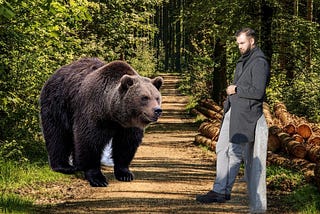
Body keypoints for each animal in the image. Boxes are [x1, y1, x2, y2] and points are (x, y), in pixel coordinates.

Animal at [40, 57, 164, 186]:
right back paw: (63, 166)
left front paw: (125, 174)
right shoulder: (93, 113)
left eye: (157, 97)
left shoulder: (128, 126)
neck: (112, 114)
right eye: (144, 97)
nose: (157, 110)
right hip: (58, 103)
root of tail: (54, 74)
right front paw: (98, 178)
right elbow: (89, 141)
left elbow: (126, 145)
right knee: (57, 135)